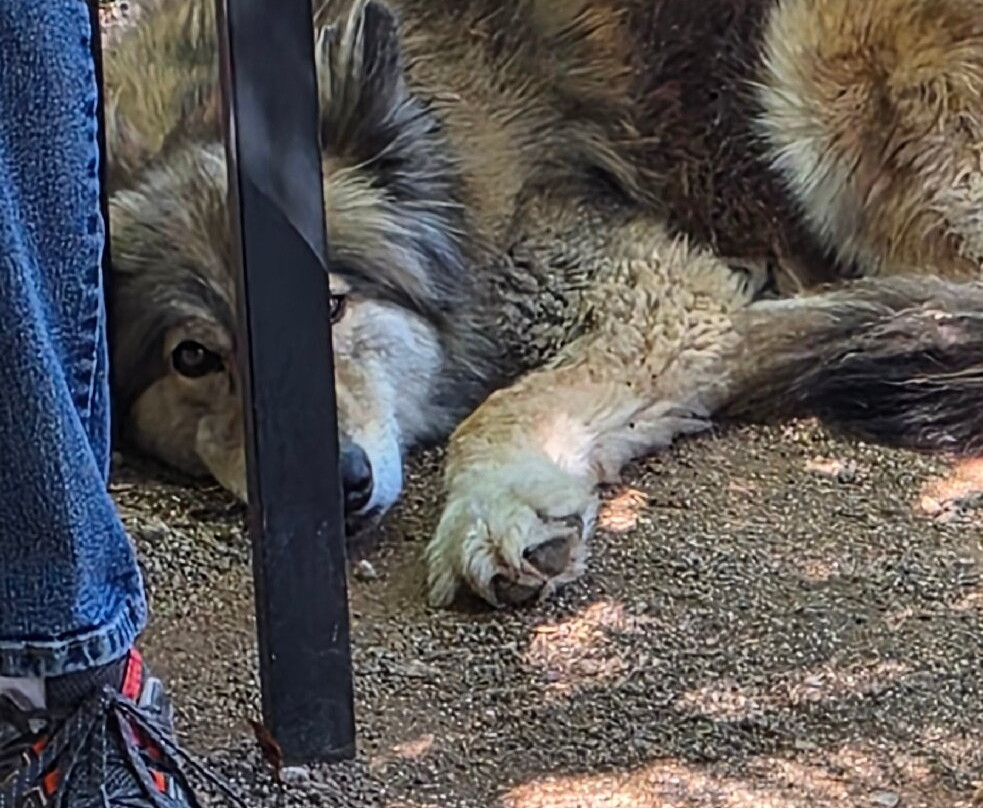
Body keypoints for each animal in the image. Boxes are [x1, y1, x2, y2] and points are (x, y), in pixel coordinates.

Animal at [102, 0, 983, 608]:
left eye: (328, 309)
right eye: (192, 358)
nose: (337, 485)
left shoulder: (655, 293)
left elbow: (497, 409)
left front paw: (498, 512)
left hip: (818, 61)